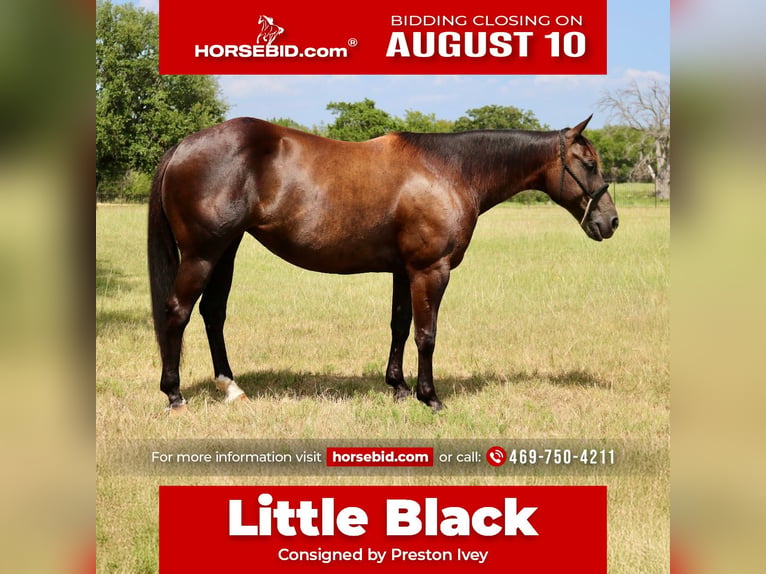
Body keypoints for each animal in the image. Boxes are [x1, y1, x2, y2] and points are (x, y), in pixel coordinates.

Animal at [147, 115, 618, 412]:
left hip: (226, 249)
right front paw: (430, 397)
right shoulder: (431, 269)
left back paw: (231, 388)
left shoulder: (403, 270)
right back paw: (174, 395)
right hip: (204, 253)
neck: (450, 170)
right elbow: (426, 334)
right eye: (589, 163)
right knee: (178, 312)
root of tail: (182, 146)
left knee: (213, 314)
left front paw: (398, 387)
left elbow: (399, 326)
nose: (610, 221)